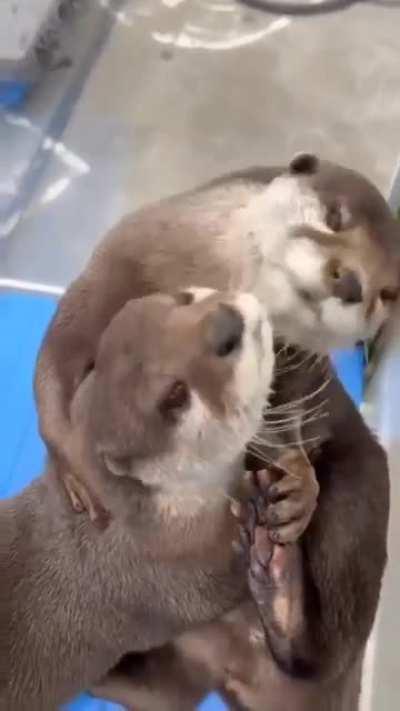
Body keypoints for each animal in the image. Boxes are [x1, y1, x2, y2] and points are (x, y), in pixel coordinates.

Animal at [34, 153, 400, 522]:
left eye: (387, 293)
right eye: (335, 217)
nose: (352, 283)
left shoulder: (298, 362)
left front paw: (301, 482)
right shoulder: (117, 266)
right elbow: (57, 361)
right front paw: (79, 471)